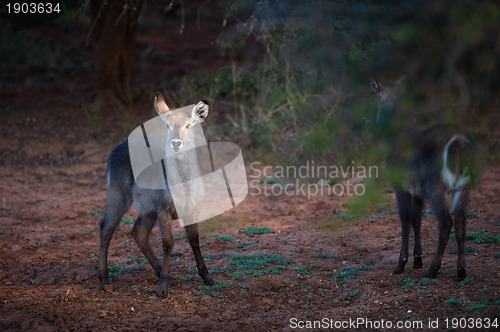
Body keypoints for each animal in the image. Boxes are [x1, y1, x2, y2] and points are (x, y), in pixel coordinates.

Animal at [98, 92, 214, 296]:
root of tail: (117, 148)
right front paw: (162, 289)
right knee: (105, 228)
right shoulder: (163, 210)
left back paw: (160, 271)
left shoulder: (191, 208)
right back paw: (105, 280)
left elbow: (194, 240)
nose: (176, 143)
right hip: (119, 195)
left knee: (138, 232)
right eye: (167, 125)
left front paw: (207, 277)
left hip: (147, 210)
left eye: (188, 125)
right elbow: (167, 243)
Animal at [370, 78, 478, 280]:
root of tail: (458, 147)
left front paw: (401, 263)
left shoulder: (401, 186)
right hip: (463, 186)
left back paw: (433, 269)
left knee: (446, 222)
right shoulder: (417, 192)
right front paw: (418, 260)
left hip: (435, 186)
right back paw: (461, 271)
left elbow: (404, 219)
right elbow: (416, 219)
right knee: (460, 220)